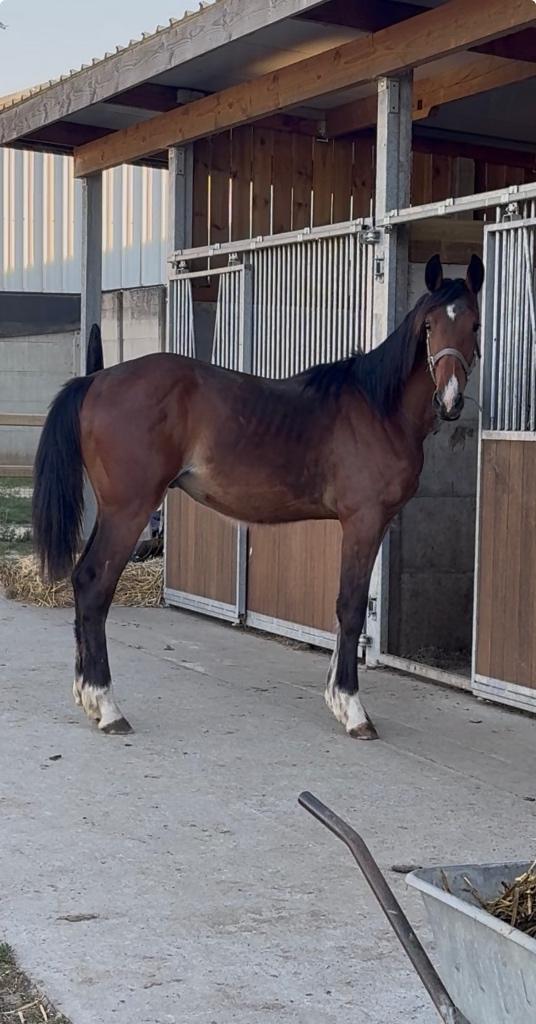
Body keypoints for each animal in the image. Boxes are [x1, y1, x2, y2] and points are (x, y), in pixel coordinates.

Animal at [32, 253, 484, 740]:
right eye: (429, 326)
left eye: (475, 324)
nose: (450, 400)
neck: (378, 409)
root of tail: (96, 380)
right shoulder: (363, 522)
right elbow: (350, 607)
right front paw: (352, 709)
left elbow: (342, 609)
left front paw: (334, 697)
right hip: (128, 511)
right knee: (95, 584)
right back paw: (108, 706)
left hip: (113, 510)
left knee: (83, 581)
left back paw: (89, 698)